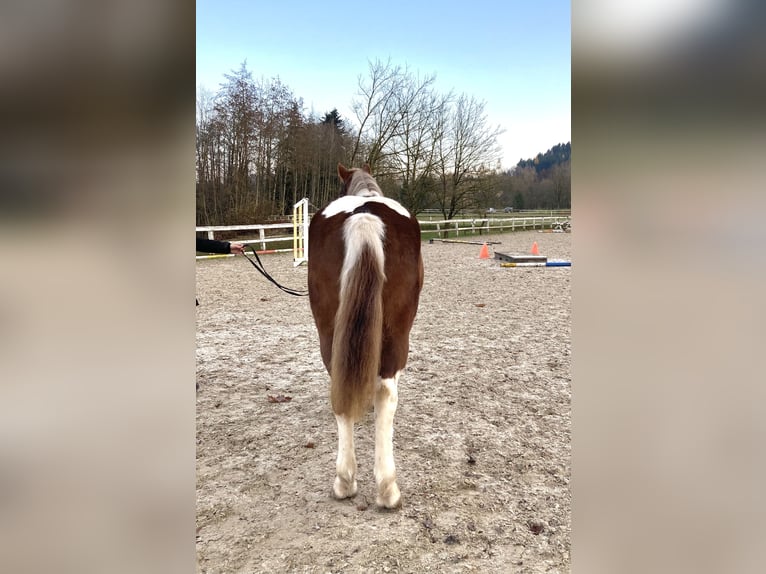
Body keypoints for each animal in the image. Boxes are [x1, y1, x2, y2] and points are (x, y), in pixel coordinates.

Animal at [307, 163, 424, 509]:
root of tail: (364, 214)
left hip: (329, 331)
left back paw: (345, 480)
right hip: (399, 334)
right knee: (386, 393)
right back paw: (386, 488)